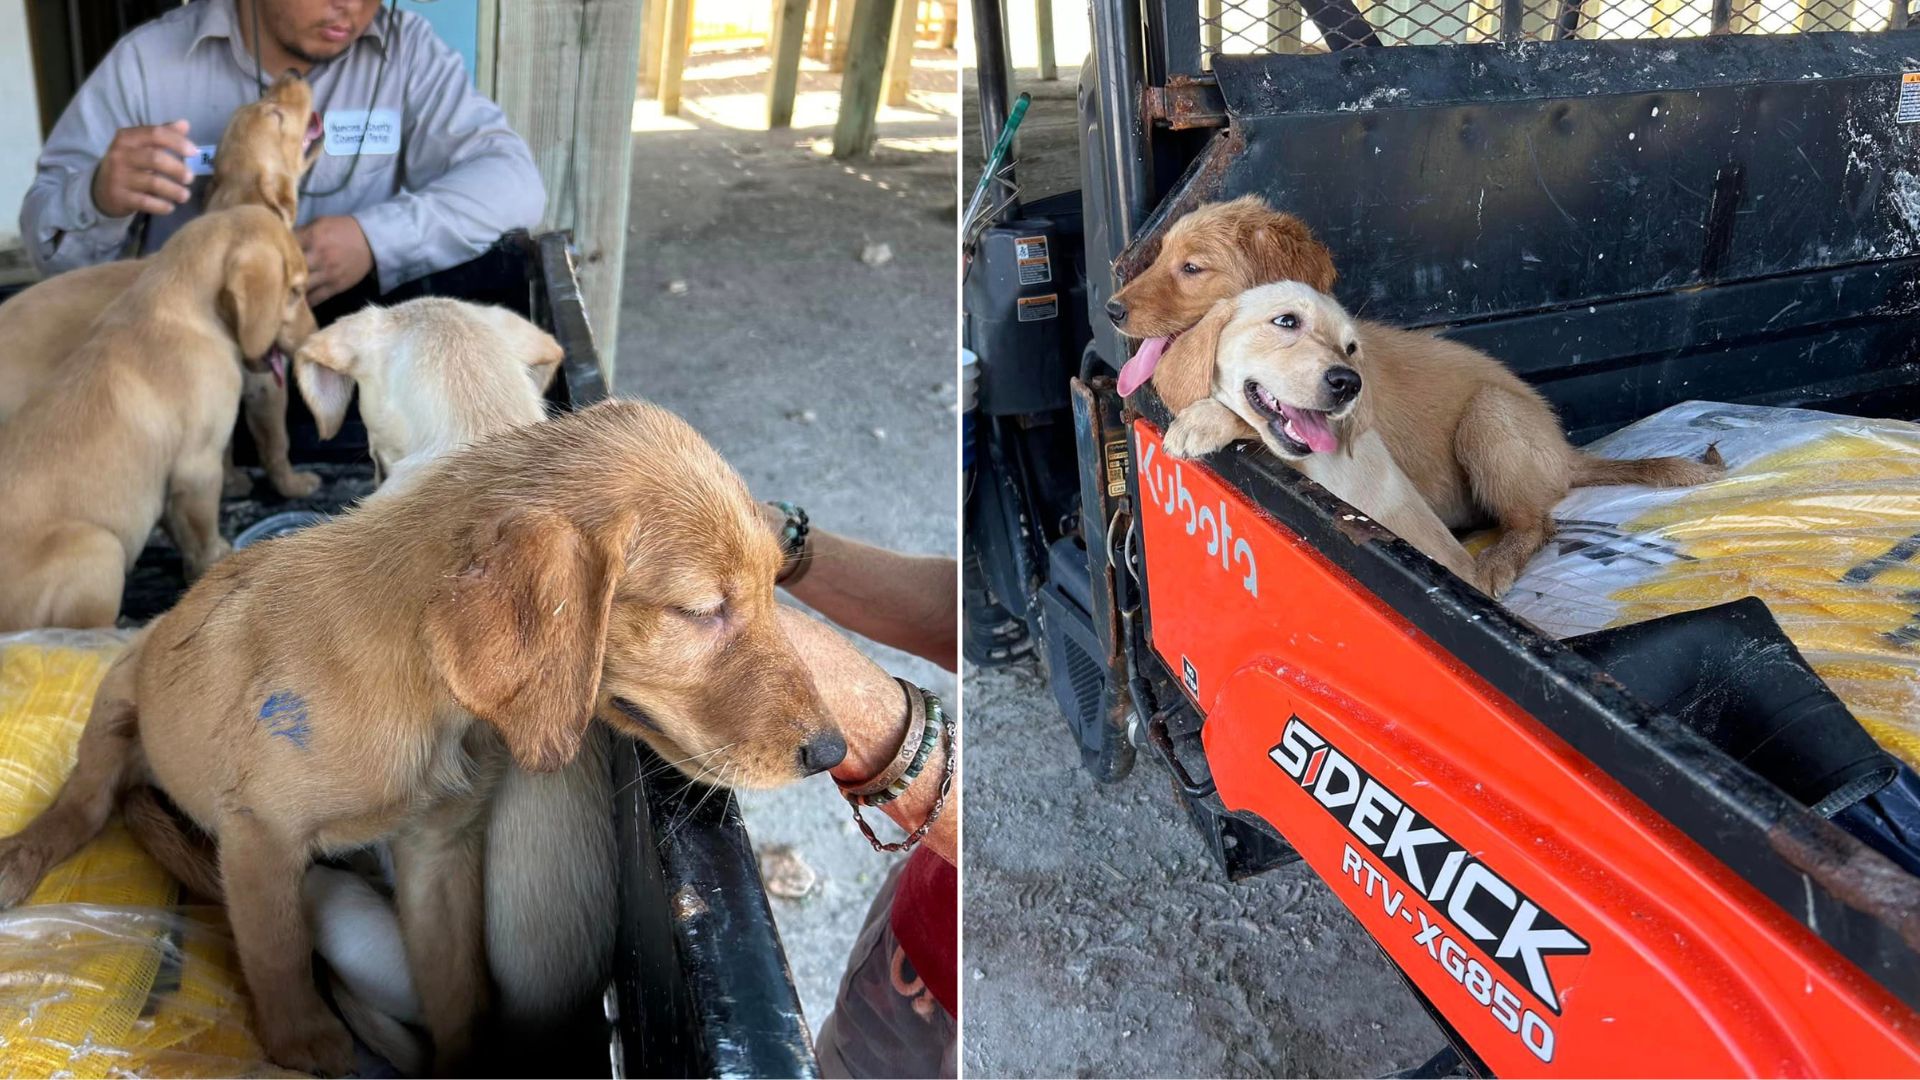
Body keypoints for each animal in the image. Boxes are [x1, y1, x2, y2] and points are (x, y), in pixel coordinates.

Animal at [0, 69, 322, 499]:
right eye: (275, 115)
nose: (292, 73)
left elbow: (223, 446)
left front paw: (232, 481)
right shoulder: (264, 380)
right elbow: (276, 441)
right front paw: (292, 484)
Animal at [0, 203, 318, 630]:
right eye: (296, 291)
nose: (314, 338)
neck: (175, 301)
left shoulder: (170, 480)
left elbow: (179, 525)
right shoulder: (198, 466)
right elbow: (203, 529)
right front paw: (216, 559)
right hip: (99, 547)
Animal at [0, 399, 848, 1068]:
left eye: (776, 582)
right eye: (701, 610)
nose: (832, 752)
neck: (427, 703)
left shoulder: (439, 852)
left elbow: (459, 991)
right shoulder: (257, 834)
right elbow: (277, 950)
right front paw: (305, 1040)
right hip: (118, 700)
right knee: (85, 800)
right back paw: (25, 854)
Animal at [1113, 195, 1728, 595]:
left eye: (1192, 267)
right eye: (1161, 255)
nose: (1111, 310)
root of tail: (1566, 451)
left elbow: (1265, 418)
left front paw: (1203, 420)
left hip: (1490, 414)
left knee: (1536, 523)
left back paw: (1494, 564)